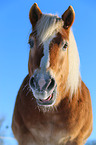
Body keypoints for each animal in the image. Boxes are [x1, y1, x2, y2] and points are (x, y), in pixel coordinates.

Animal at [11, 3, 92, 145]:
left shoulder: (76, 139)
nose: (42, 83)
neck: (51, 114)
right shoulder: (25, 138)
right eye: (30, 42)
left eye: (65, 45)